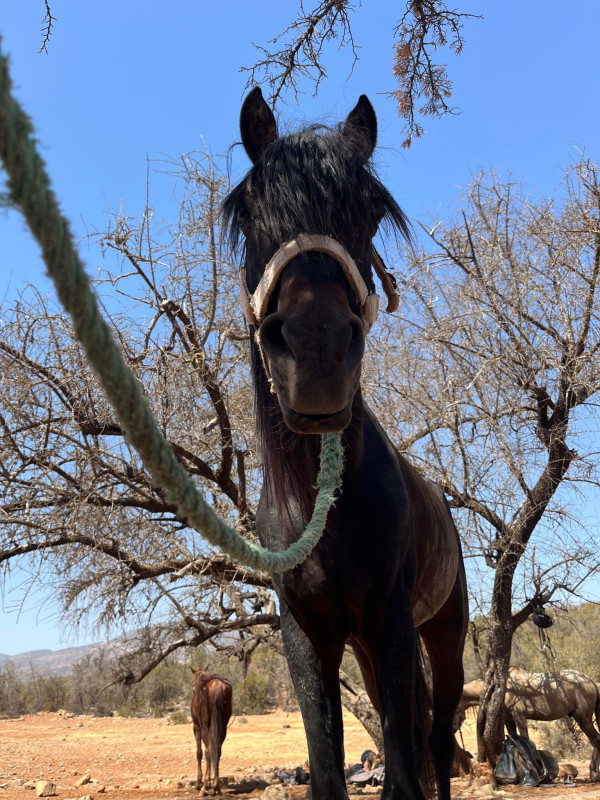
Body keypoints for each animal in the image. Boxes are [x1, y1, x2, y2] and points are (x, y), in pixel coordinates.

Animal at [221, 87, 468, 800]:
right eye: (249, 206)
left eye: (372, 210)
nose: (318, 350)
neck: (320, 504)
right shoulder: (309, 634)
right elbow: (328, 769)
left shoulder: (390, 621)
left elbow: (405, 776)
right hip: (367, 643)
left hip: (443, 632)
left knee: (436, 740)